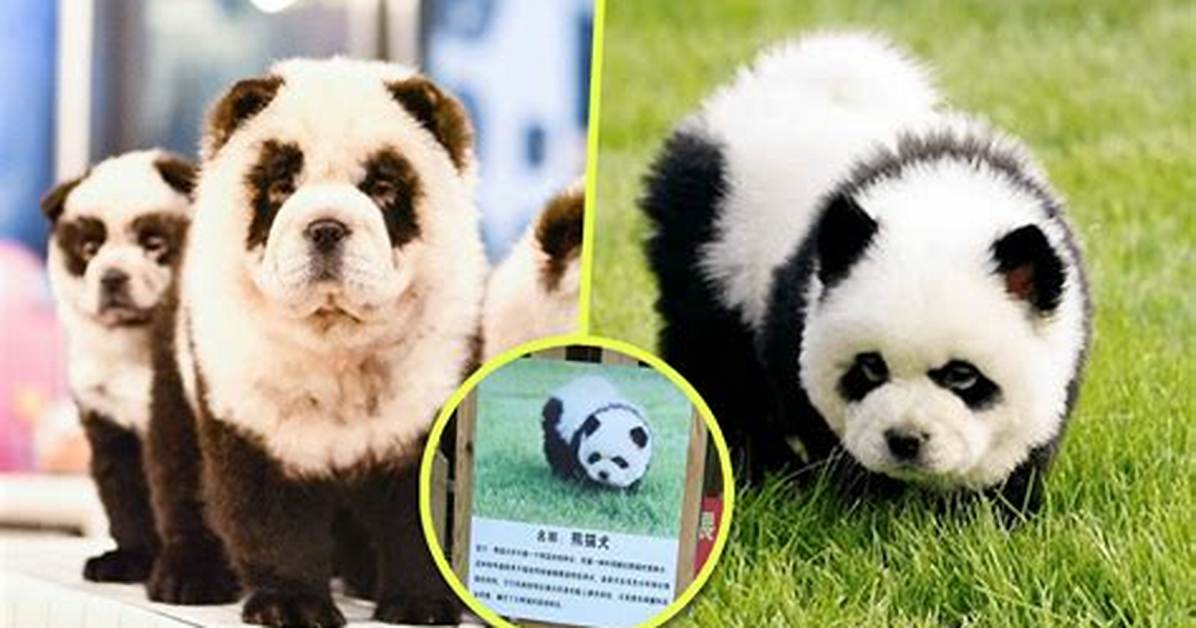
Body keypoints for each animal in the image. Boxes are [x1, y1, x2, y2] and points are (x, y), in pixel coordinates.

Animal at [642, 32, 1091, 518]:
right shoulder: (797, 305)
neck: (943, 201)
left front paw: (995, 511)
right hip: (712, 245)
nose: (905, 440)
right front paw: (865, 505)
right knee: (717, 364)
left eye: (962, 376)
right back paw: (758, 470)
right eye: (871, 367)